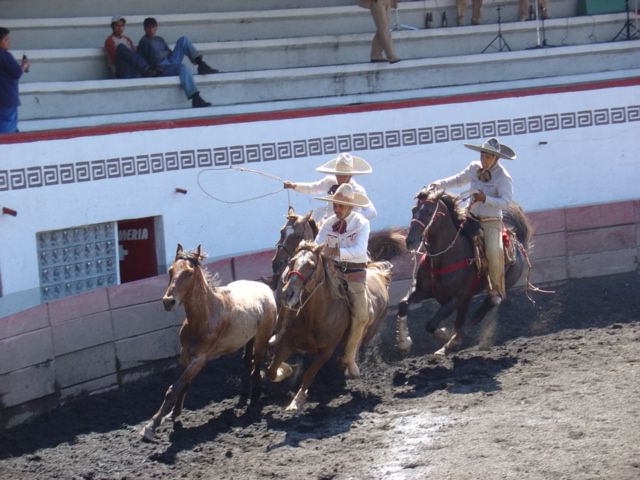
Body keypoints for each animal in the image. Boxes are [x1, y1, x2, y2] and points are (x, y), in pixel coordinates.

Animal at [140, 246, 276, 440]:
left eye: (189, 273)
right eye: (170, 270)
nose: (168, 301)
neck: (207, 314)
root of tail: (266, 289)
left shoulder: (200, 359)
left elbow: (175, 387)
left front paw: (152, 425)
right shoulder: (185, 354)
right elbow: (183, 384)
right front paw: (174, 413)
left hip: (262, 337)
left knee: (257, 364)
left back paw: (255, 394)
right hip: (248, 339)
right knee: (247, 363)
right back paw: (243, 394)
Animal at [266, 242, 396, 410]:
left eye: (312, 265)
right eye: (291, 262)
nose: (288, 293)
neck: (315, 317)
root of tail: (379, 273)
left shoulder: (326, 351)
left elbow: (309, 374)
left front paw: (297, 401)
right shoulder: (289, 342)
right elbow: (272, 369)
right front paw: (286, 371)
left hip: (368, 327)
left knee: (357, 341)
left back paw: (350, 367)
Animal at [396, 188, 536, 356]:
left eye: (429, 211)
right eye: (413, 210)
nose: (410, 240)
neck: (444, 257)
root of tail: (518, 243)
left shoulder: (455, 298)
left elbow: (431, 324)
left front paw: (444, 335)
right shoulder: (422, 290)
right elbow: (403, 305)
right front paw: (404, 343)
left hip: (496, 288)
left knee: (480, 312)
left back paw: (453, 342)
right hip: (467, 297)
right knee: (462, 319)